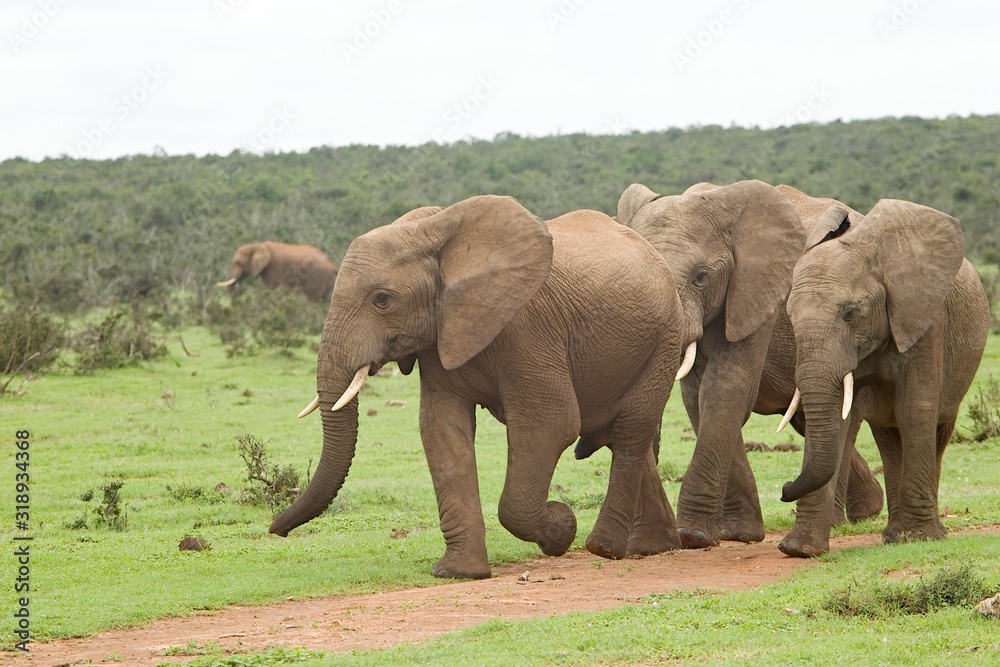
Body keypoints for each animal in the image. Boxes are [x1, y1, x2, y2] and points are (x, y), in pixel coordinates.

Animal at [269, 195, 684, 579]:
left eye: (382, 299)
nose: (275, 531)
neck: (433, 232)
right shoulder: (442, 334)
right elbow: (441, 430)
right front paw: (459, 572)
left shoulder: (527, 328)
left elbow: (551, 423)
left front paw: (561, 527)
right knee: (622, 435)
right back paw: (653, 547)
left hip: (665, 339)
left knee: (630, 431)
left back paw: (604, 547)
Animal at [593, 180, 883, 550]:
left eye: (701, 278)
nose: (785, 491)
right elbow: (698, 398)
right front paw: (738, 534)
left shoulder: (759, 293)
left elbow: (726, 387)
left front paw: (695, 536)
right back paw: (864, 511)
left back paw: (839, 521)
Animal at [779, 197, 988, 553]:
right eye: (789, 316)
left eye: (850, 313)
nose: (783, 487)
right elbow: (838, 416)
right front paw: (798, 550)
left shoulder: (924, 319)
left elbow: (915, 409)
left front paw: (921, 539)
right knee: (890, 437)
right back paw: (894, 536)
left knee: (936, 428)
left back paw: (919, 534)